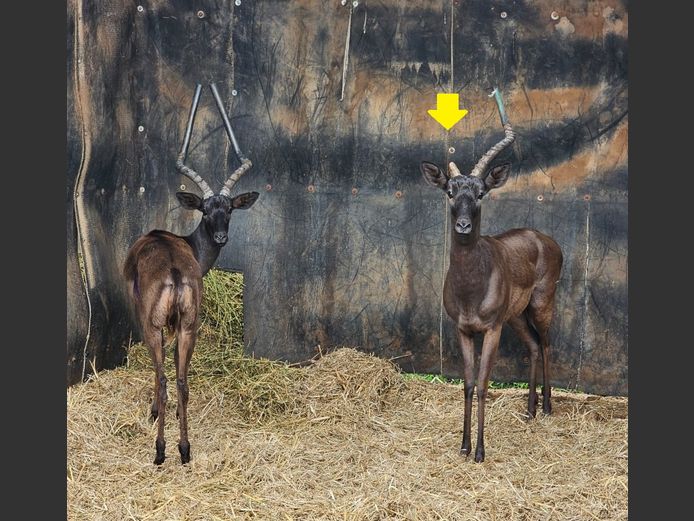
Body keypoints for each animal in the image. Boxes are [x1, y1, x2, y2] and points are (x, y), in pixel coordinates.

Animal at [124, 84, 259, 465]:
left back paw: (160, 450)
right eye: (206, 209)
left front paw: (156, 414)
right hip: (189, 326)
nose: (221, 236)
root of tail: (173, 272)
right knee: (182, 380)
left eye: (229, 209)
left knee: (163, 379)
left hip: (154, 327)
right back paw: (184, 449)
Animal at [420, 89, 563, 462]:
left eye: (481, 192)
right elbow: (469, 385)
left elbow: (484, 384)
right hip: (516, 316)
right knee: (532, 345)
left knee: (546, 343)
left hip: (541, 305)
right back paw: (529, 410)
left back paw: (547, 408)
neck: (471, 289)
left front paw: (481, 451)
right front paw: (464, 446)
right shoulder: (464, 330)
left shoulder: (492, 329)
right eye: (450, 191)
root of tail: (545, 240)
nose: (463, 226)